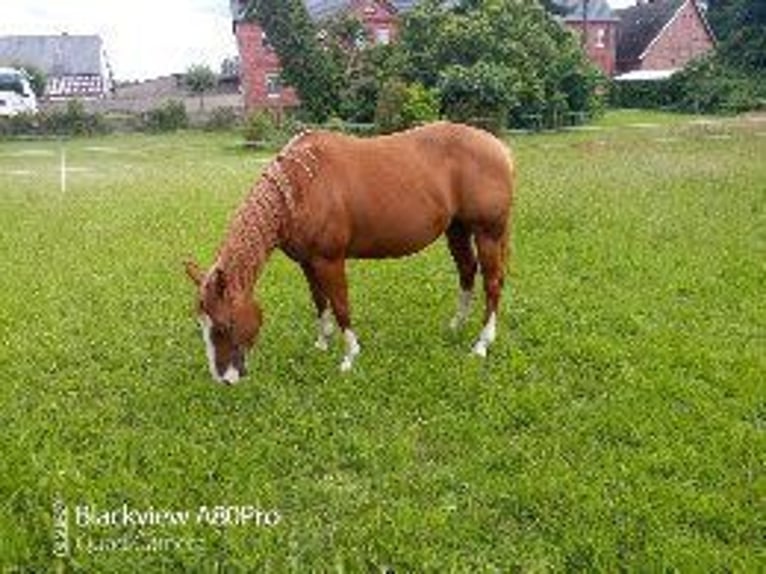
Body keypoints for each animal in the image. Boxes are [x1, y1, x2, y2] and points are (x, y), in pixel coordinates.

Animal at [186, 122, 516, 388]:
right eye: (201, 324)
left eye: (224, 326)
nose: (224, 380)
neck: (301, 186)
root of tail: (499, 148)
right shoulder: (308, 262)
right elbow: (320, 301)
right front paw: (322, 342)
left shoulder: (330, 260)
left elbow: (341, 305)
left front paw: (349, 356)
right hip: (456, 229)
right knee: (467, 272)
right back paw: (456, 325)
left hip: (488, 232)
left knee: (492, 283)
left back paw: (481, 344)